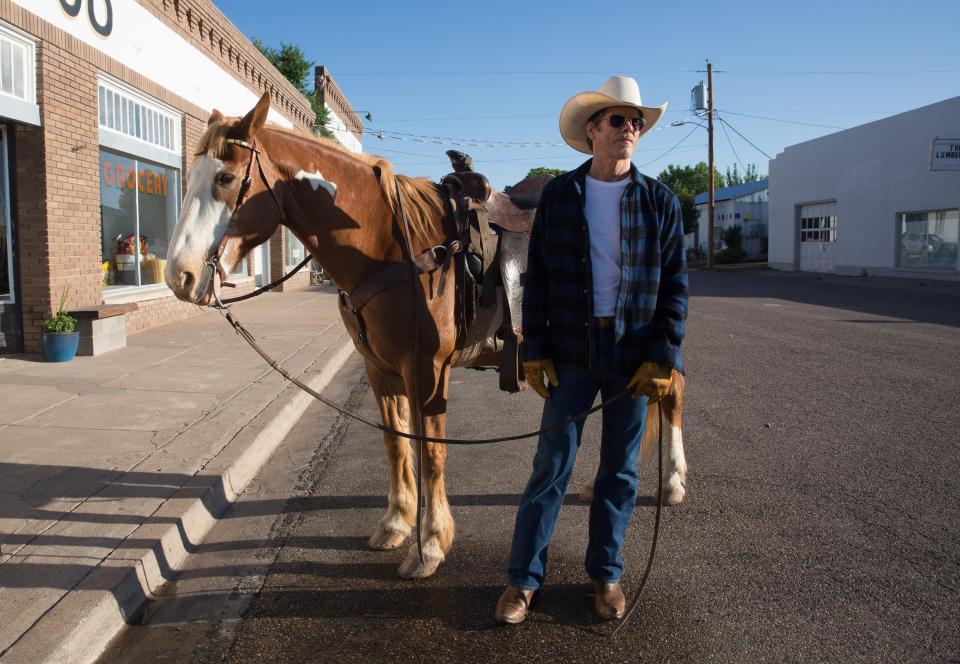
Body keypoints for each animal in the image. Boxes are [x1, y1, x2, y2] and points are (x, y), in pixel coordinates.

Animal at [167, 91, 688, 580]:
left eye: (225, 179)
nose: (180, 276)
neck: (387, 246)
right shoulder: (380, 369)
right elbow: (396, 445)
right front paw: (397, 525)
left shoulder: (428, 369)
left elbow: (430, 452)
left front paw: (430, 545)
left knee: (670, 392)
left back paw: (673, 482)